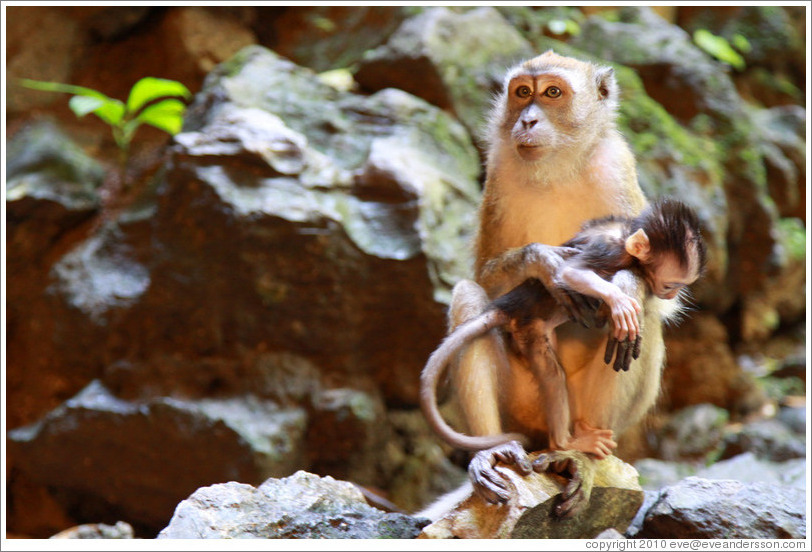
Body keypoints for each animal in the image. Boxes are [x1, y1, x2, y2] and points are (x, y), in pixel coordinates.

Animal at [422, 197, 708, 458]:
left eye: (678, 287)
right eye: (671, 285)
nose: (673, 295)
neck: (626, 239)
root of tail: (506, 305)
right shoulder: (610, 251)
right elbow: (572, 273)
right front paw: (619, 300)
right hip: (529, 331)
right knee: (552, 376)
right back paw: (565, 443)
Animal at [444, 51, 668, 516]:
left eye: (552, 93)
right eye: (522, 92)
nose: (527, 119)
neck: (558, 169)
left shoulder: (618, 169)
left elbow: (659, 284)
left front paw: (626, 289)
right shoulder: (498, 173)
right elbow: (483, 275)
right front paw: (543, 261)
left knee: (643, 324)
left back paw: (580, 456)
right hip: (522, 403)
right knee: (469, 298)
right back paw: (492, 451)